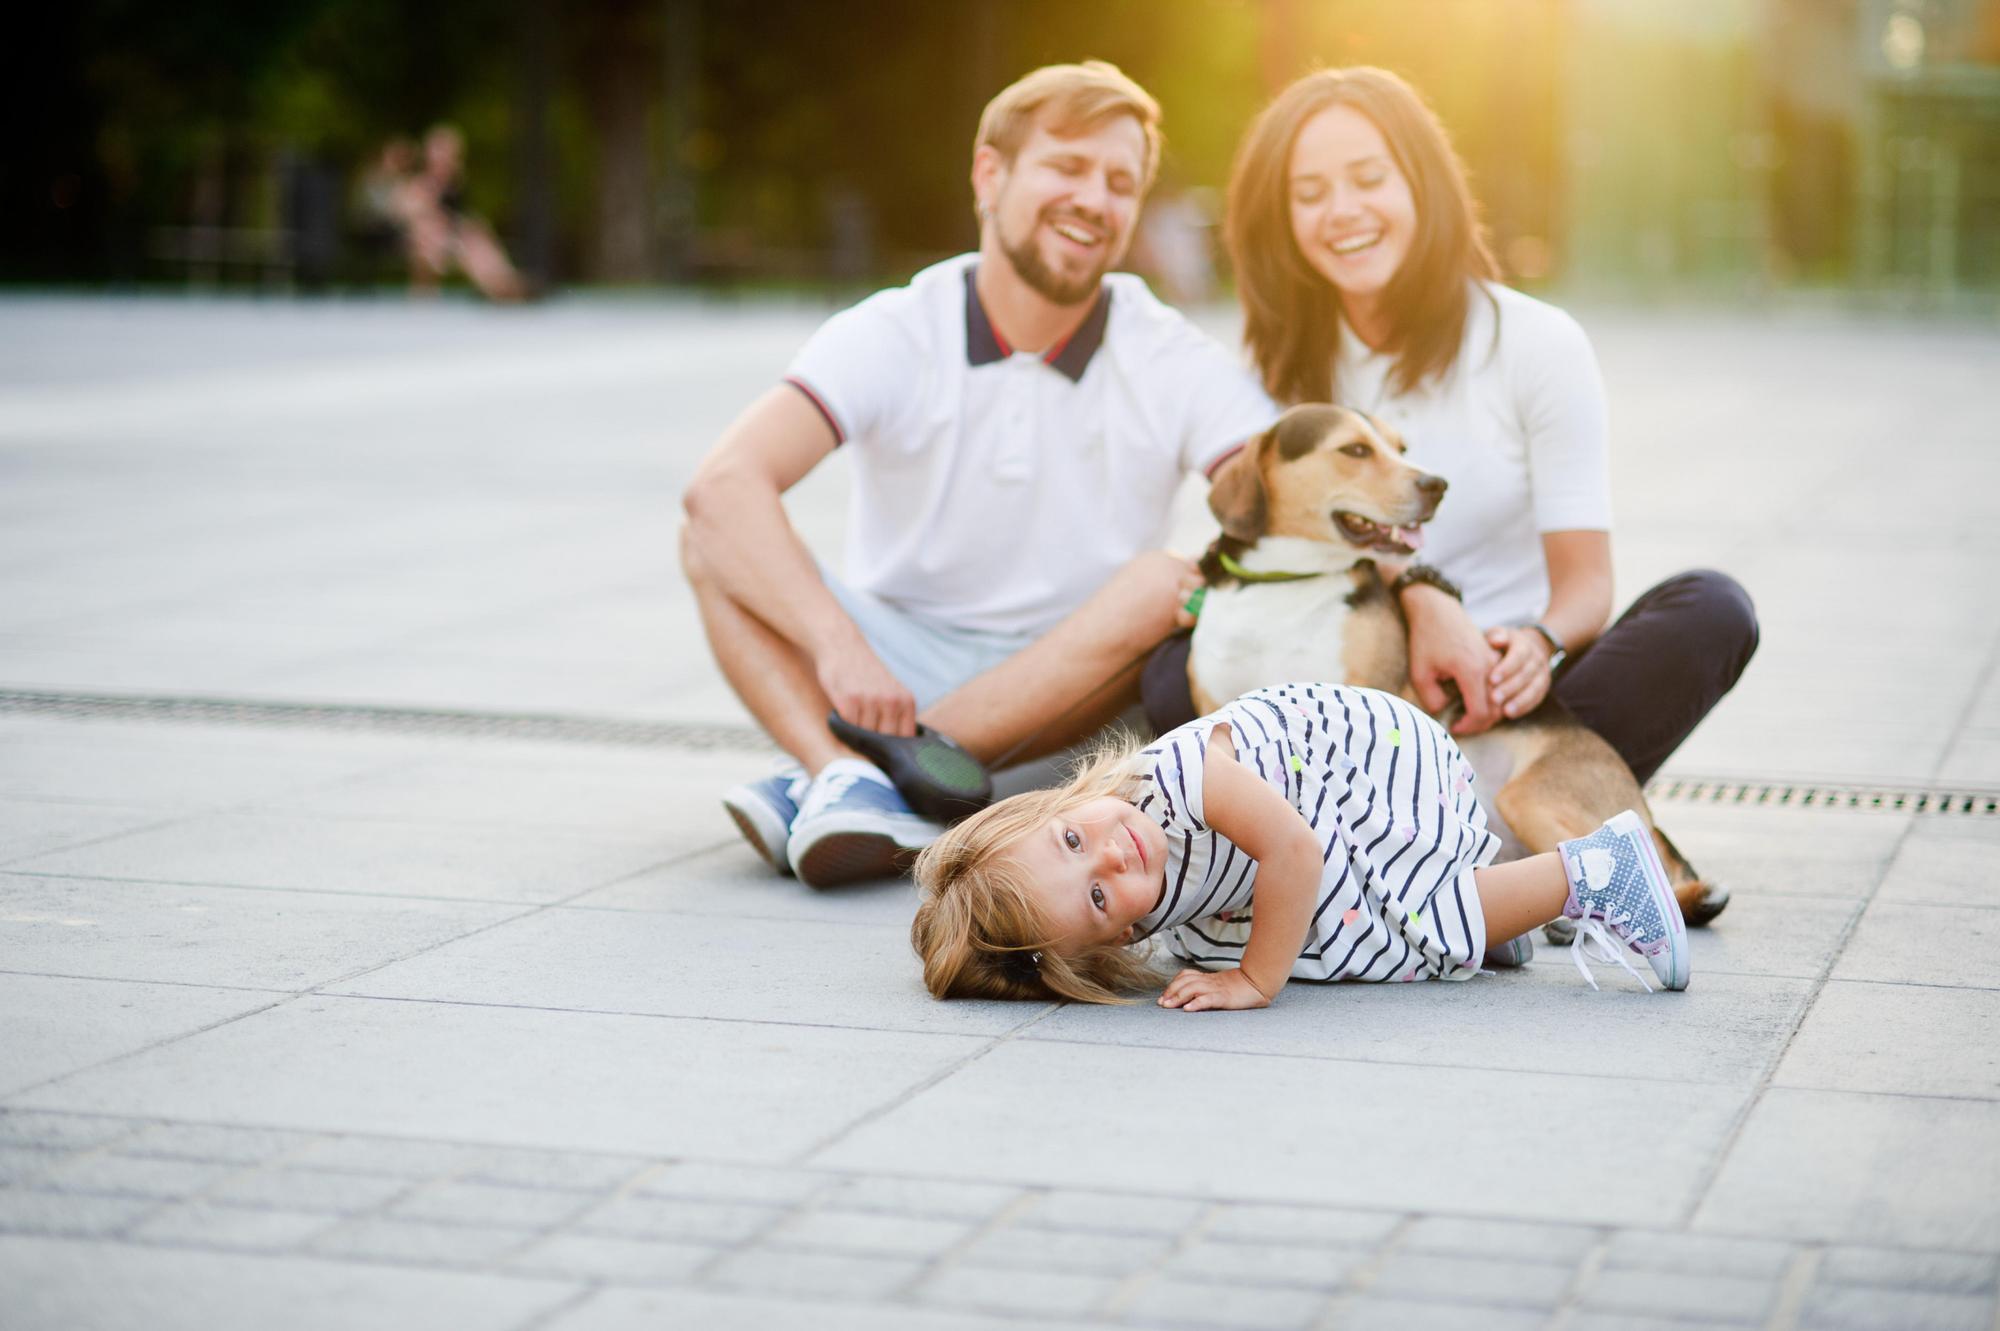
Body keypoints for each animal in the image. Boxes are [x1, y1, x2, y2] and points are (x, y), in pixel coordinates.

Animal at [1184, 401, 1736, 923]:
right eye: (1354, 450)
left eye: (1400, 447)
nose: (1436, 485)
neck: (1284, 582)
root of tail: (1647, 811)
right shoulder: (1217, 709)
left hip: (1531, 796)